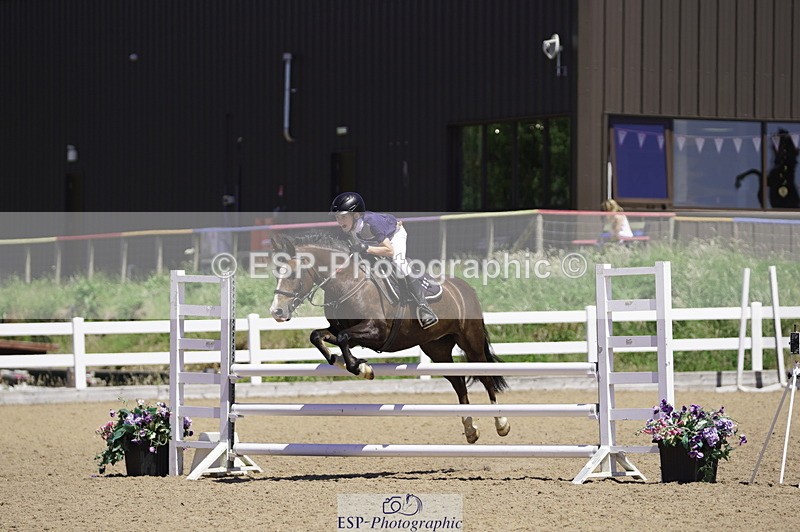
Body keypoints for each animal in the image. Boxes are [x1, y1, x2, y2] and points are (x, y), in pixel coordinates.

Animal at [267, 231, 510, 444]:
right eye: (277, 273)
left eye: (292, 274)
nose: (276, 312)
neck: (346, 282)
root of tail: (466, 288)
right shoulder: (343, 331)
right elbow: (318, 336)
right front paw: (345, 362)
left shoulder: (376, 331)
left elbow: (344, 338)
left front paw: (360, 368)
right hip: (437, 348)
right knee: (458, 383)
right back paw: (470, 430)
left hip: (471, 341)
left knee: (486, 377)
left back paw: (501, 423)